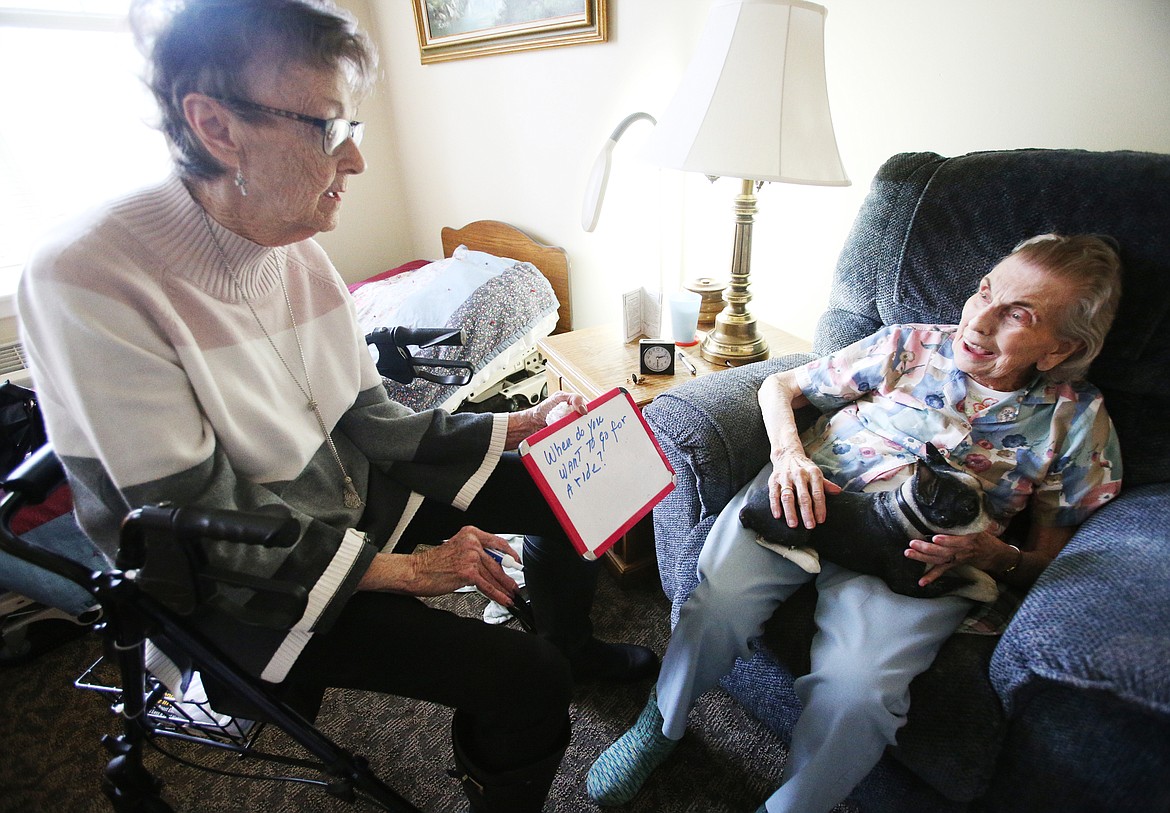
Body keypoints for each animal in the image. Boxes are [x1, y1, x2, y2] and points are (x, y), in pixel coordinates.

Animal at [739, 444, 996, 598]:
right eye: (968, 508)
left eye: (983, 492)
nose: (991, 509)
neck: (906, 512)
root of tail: (748, 506)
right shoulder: (909, 585)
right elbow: (954, 584)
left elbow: (976, 575)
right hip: (798, 528)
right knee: (766, 539)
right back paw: (807, 557)